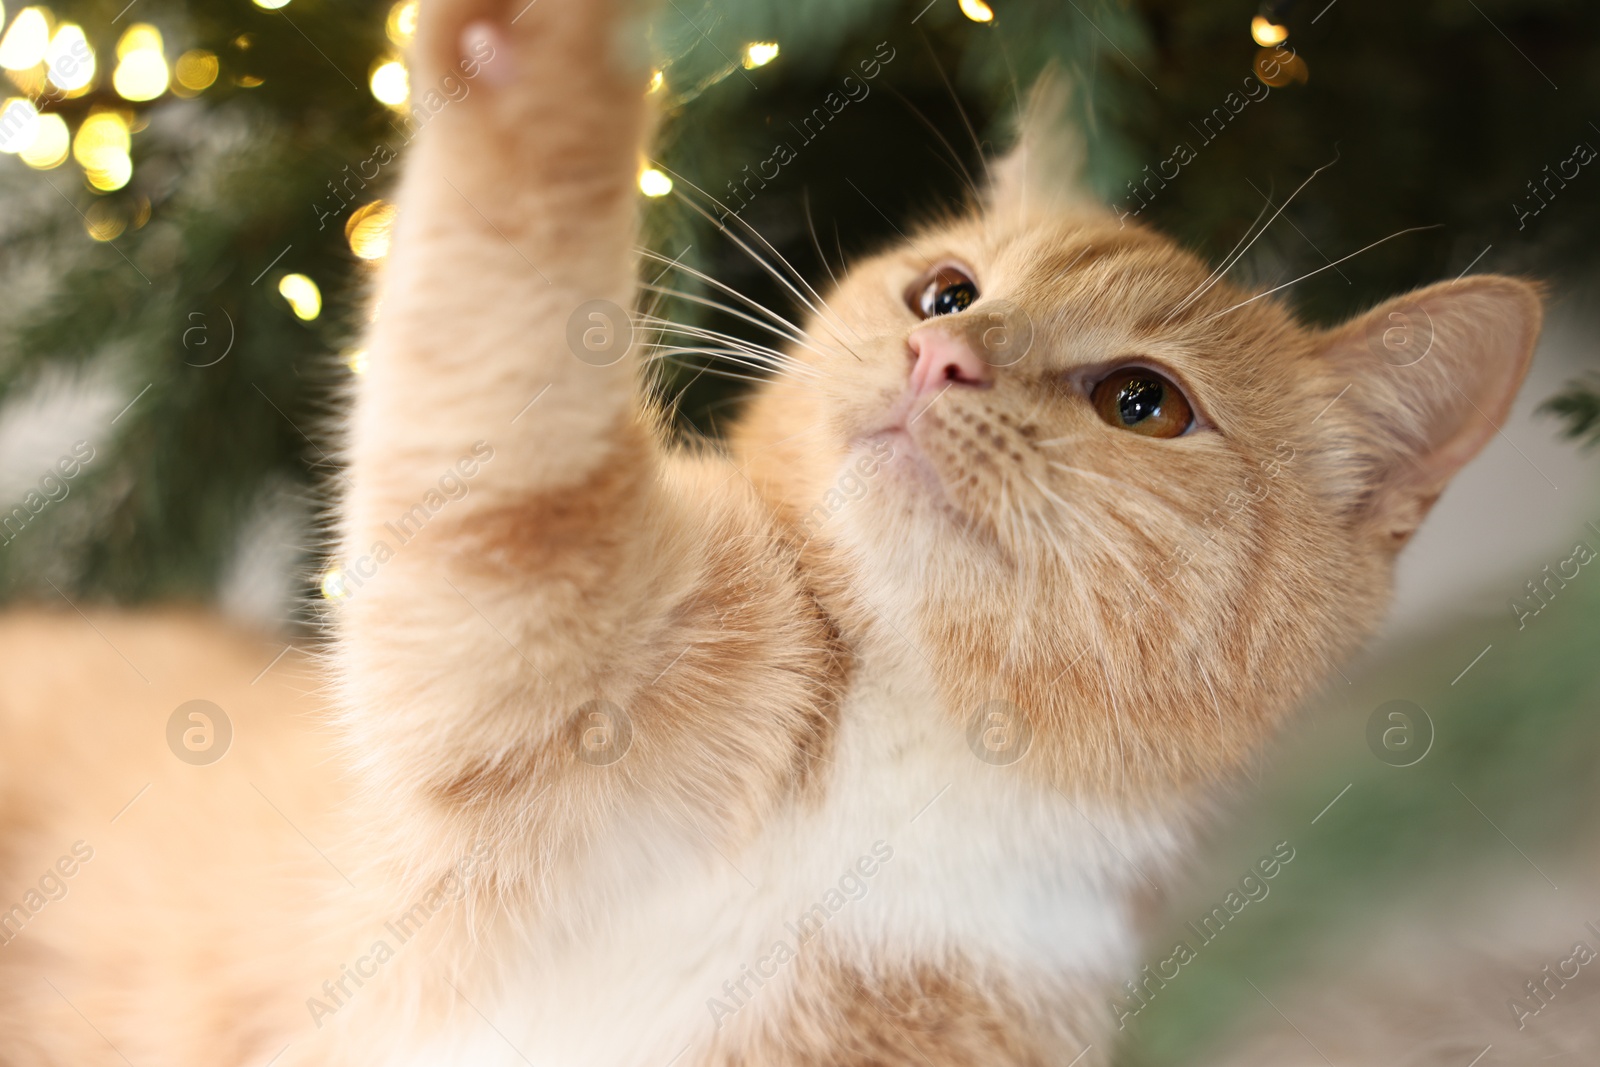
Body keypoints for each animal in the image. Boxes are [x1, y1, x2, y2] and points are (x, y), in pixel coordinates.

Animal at [0, 0, 1542, 1062]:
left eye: (1142, 402)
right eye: (945, 290)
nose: (942, 359)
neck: (895, 763)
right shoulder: (516, 624)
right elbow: (507, 376)